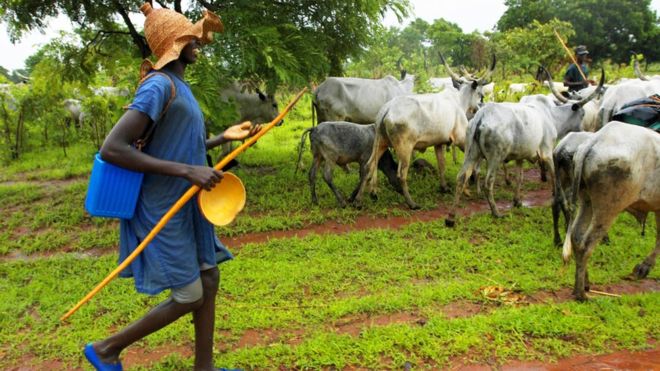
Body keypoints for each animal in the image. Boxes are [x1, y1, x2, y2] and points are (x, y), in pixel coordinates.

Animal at [354, 53, 492, 209]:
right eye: (481, 94)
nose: (480, 106)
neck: (458, 100)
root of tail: (387, 109)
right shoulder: (462, 139)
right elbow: (469, 163)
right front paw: (468, 188)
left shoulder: (439, 143)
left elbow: (442, 165)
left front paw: (444, 187)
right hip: (405, 148)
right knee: (401, 174)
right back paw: (411, 203)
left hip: (380, 142)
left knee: (368, 166)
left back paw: (359, 199)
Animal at [564, 122, 660, 302]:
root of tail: (594, 140)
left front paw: (644, 268)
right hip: (607, 209)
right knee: (586, 245)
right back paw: (581, 294)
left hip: (587, 201)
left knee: (576, 237)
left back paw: (585, 284)